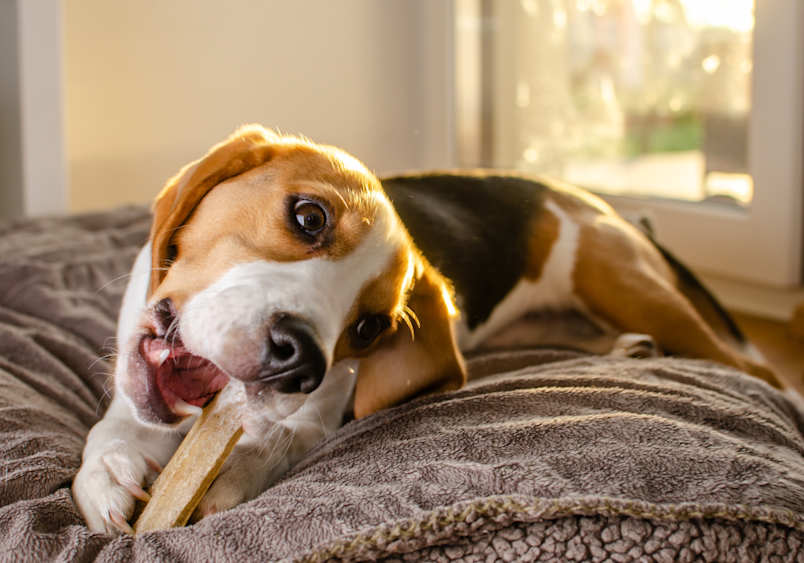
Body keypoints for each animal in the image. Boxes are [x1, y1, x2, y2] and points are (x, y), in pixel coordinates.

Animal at [72, 123, 776, 532]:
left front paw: (231, 473)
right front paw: (106, 471)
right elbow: (111, 431)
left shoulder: (318, 416)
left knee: (754, 368)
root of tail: (593, 198)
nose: (301, 360)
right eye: (308, 217)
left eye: (368, 329)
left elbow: (279, 438)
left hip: (625, 285)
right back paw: (628, 350)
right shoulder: (135, 386)